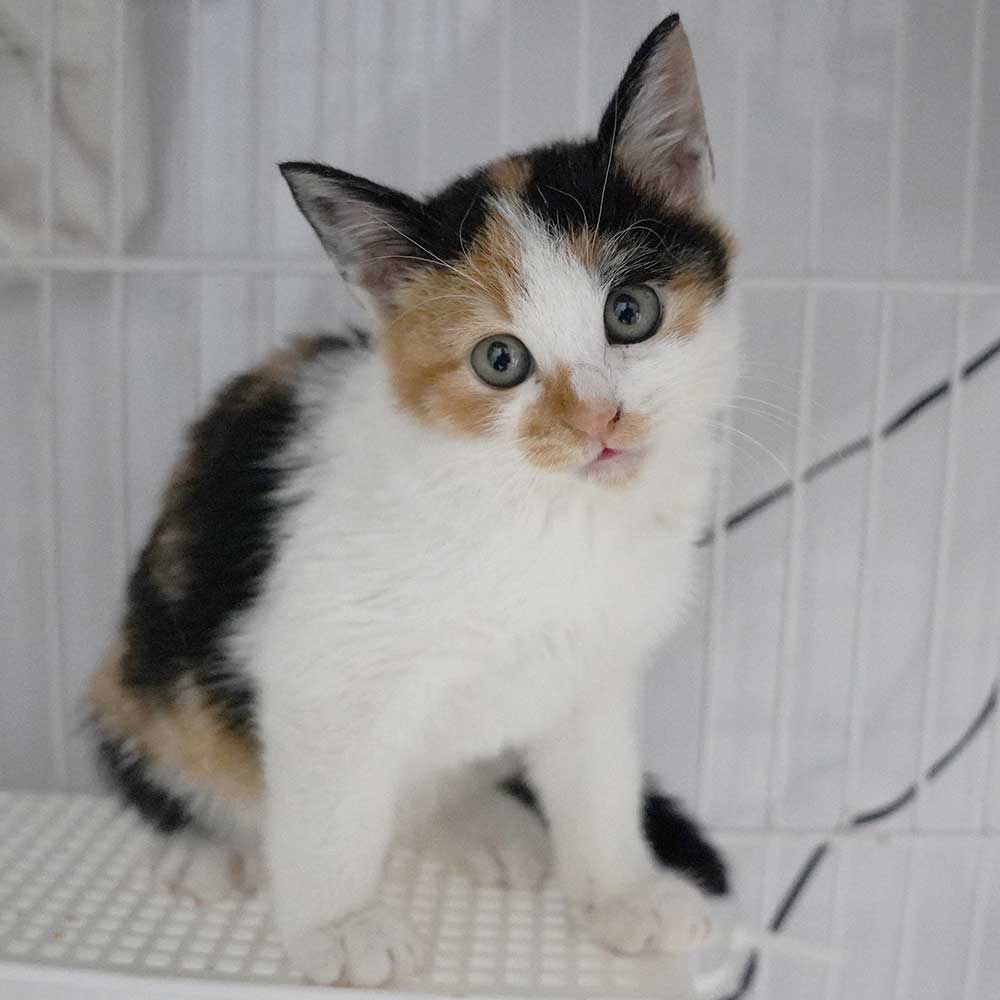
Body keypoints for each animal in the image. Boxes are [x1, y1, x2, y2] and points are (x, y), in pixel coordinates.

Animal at [89, 13, 736, 987]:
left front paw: (622, 893)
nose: (598, 419)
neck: (545, 515)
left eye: (632, 312)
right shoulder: (318, 667)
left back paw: (478, 823)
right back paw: (207, 846)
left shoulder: (597, 665)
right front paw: (343, 924)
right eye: (499, 360)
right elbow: (329, 813)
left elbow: (599, 782)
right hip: (150, 667)